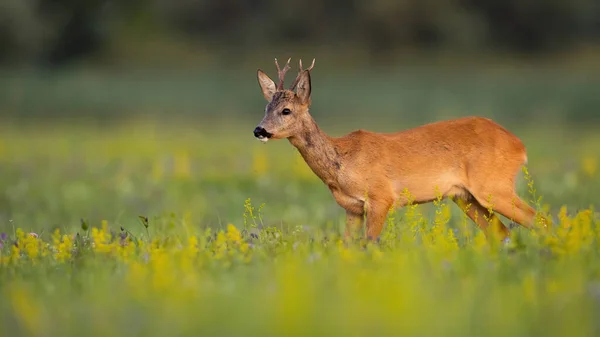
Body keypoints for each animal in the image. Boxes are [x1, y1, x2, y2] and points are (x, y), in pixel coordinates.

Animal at [252, 57, 544, 242]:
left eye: (286, 110)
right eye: (266, 107)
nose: (259, 130)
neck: (342, 163)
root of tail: (519, 145)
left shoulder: (381, 197)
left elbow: (370, 244)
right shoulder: (352, 209)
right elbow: (347, 248)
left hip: (493, 186)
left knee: (540, 220)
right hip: (465, 197)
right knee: (502, 233)